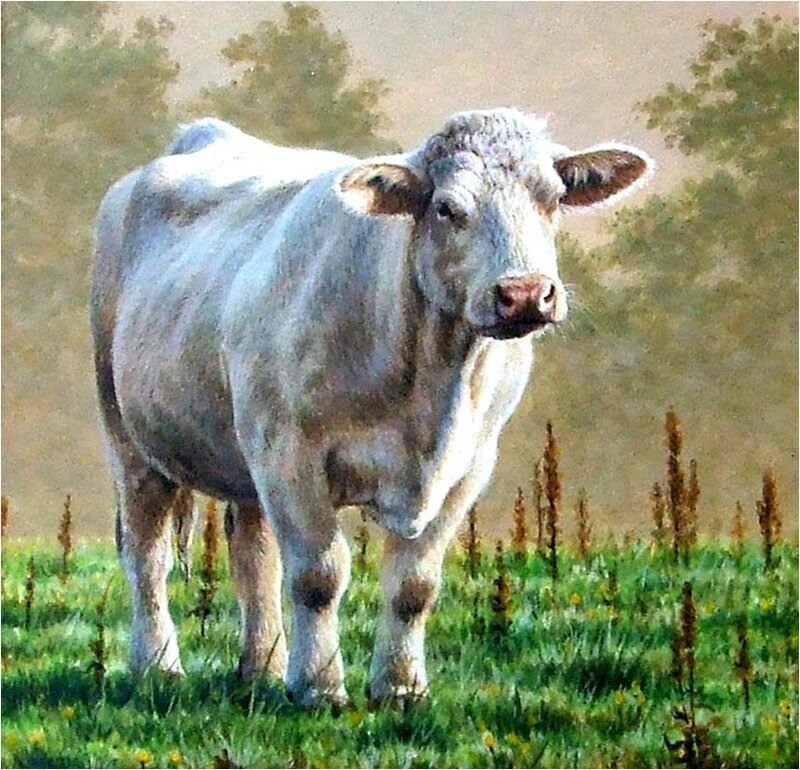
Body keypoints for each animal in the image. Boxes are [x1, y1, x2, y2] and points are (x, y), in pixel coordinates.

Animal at [91, 108, 652, 708]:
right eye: (447, 207)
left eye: (553, 198)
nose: (525, 293)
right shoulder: (289, 453)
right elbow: (318, 574)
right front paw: (319, 686)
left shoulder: (470, 465)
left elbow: (414, 584)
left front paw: (400, 686)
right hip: (129, 432)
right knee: (147, 552)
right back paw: (157, 665)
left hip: (245, 455)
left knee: (252, 555)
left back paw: (262, 668)